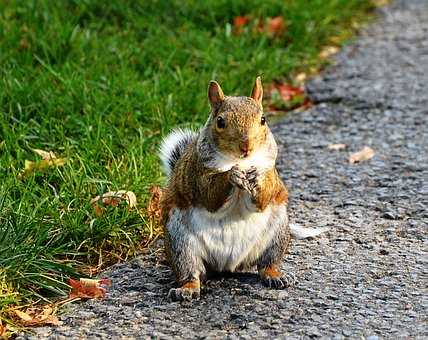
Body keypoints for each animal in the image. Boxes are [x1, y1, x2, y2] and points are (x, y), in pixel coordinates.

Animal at [159, 77, 326, 300]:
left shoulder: (270, 171)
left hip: (277, 233)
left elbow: (264, 197)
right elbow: (210, 195)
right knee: (190, 271)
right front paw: (232, 175)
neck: (241, 161)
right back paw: (187, 288)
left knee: (266, 264)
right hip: (180, 241)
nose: (246, 146)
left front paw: (257, 179)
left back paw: (276, 276)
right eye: (220, 122)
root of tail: (227, 266)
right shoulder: (198, 174)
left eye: (263, 119)